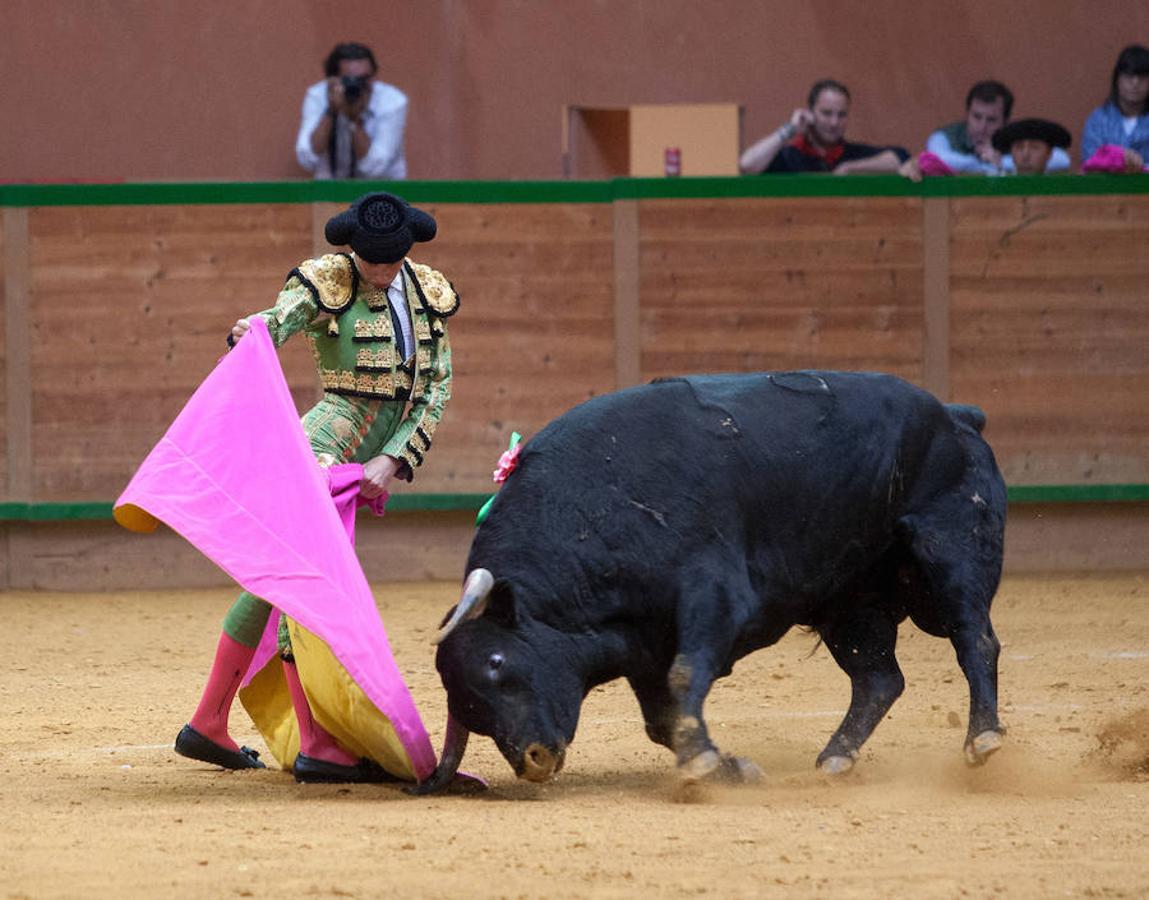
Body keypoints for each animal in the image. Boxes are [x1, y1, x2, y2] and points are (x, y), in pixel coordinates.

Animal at [415, 370, 1006, 790]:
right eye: (464, 700)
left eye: (496, 662)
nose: (533, 761)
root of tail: (957, 416)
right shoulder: (644, 647)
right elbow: (663, 718)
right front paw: (728, 767)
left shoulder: (714, 596)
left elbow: (685, 677)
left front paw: (703, 762)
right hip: (850, 604)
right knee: (879, 678)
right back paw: (837, 757)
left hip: (952, 550)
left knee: (974, 639)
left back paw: (982, 738)